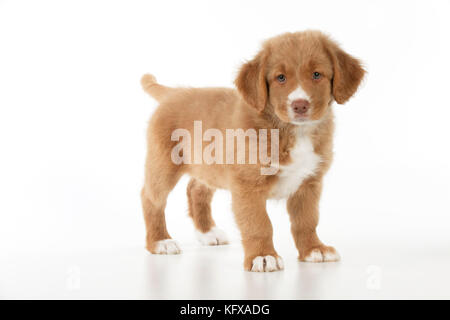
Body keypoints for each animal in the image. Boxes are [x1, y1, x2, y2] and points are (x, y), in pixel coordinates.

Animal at [141, 30, 366, 272]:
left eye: (317, 74)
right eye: (280, 78)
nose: (300, 105)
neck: (290, 130)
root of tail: (173, 93)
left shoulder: (309, 183)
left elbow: (306, 221)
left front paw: (313, 249)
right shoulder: (248, 185)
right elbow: (259, 224)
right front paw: (263, 255)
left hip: (208, 165)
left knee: (196, 190)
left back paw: (208, 232)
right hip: (164, 165)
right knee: (151, 198)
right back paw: (160, 241)